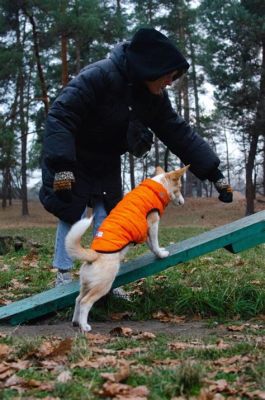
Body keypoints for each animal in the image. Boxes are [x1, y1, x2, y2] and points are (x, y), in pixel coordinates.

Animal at [64, 164, 188, 332]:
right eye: (179, 187)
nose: (183, 202)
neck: (159, 185)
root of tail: (93, 254)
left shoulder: (146, 232)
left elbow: (152, 246)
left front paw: (158, 253)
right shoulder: (153, 223)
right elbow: (155, 243)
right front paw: (161, 254)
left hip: (86, 285)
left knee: (78, 299)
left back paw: (76, 322)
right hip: (103, 285)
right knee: (85, 302)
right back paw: (85, 326)